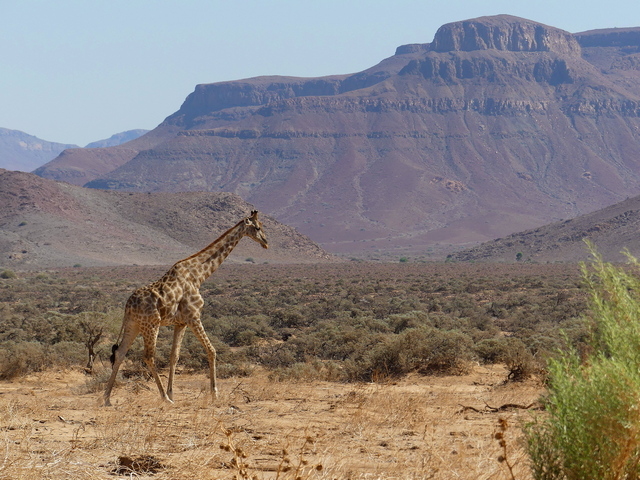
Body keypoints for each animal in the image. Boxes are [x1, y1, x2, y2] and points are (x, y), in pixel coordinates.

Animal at [103, 210, 268, 406]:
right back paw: (164, 399)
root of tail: (127, 306)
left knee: (120, 353)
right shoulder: (194, 316)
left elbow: (174, 356)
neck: (199, 275)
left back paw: (106, 398)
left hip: (133, 325)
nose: (266, 242)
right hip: (151, 325)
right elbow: (211, 350)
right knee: (148, 356)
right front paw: (214, 394)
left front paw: (173, 392)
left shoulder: (180, 323)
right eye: (257, 227)